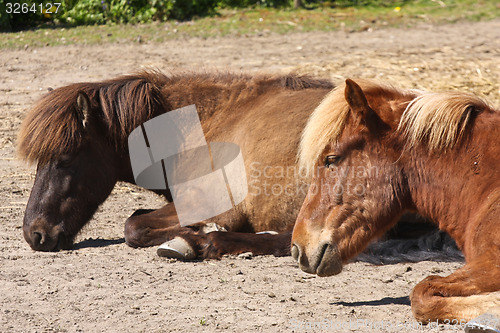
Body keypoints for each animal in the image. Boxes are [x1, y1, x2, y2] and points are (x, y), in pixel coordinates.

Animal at [18, 70, 336, 254]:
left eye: (64, 159)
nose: (35, 234)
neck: (206, 123)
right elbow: (136, 216)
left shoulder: (209, 204)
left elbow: (133, 226)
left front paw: (198, 234)